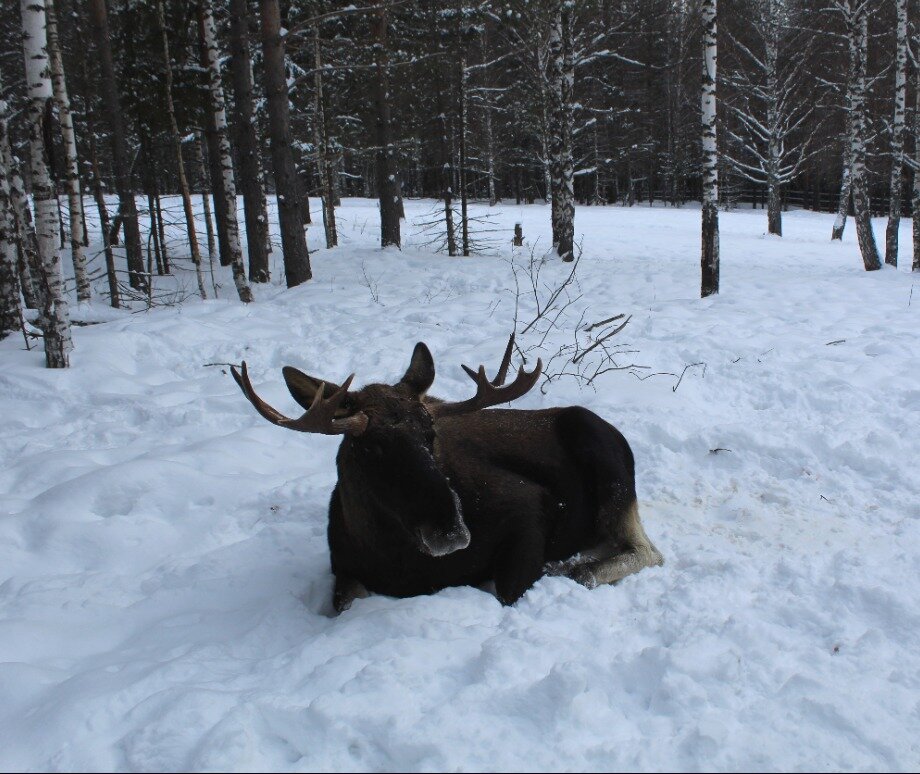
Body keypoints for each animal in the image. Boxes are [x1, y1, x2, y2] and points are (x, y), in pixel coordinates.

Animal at [230, 342, 660, 616]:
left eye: (430, 434)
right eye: (369, 448)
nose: (451, 531)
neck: (398, 558)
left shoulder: (529, 505)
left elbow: (509, 590)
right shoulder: (344, 568)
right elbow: (342, 603)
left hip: (602, 459)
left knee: (648, 551)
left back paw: (577, 567)